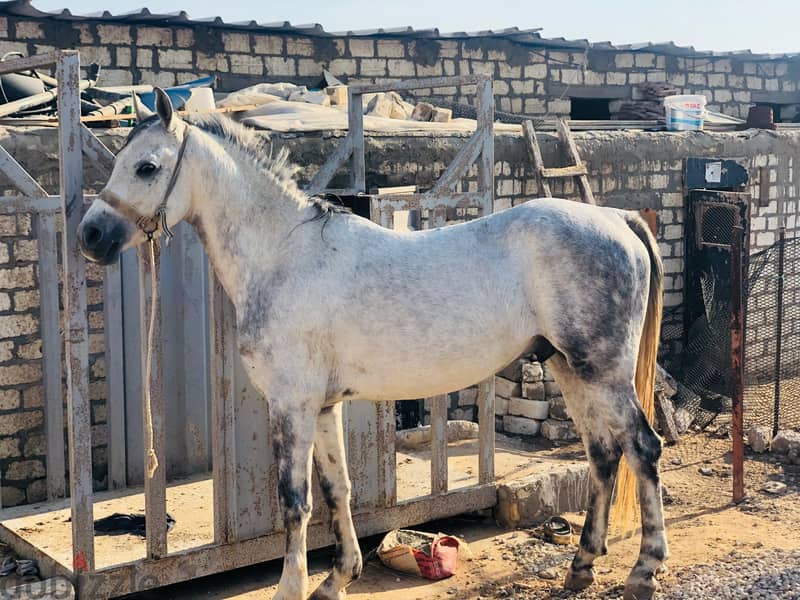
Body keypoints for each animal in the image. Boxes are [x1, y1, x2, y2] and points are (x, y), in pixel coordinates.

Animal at [77, 88, 667, 600]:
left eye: (147, 167)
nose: (90, 235)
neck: (283, 255)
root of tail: (616, 219)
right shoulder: (322, 408)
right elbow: (337, 490)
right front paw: (337, 578)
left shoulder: (290, 405)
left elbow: (295, 502)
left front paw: (292, 588)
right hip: (570, 367)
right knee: (604, 454)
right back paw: (582, 566)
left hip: (602, 372)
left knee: (642, 447)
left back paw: (643, 572)